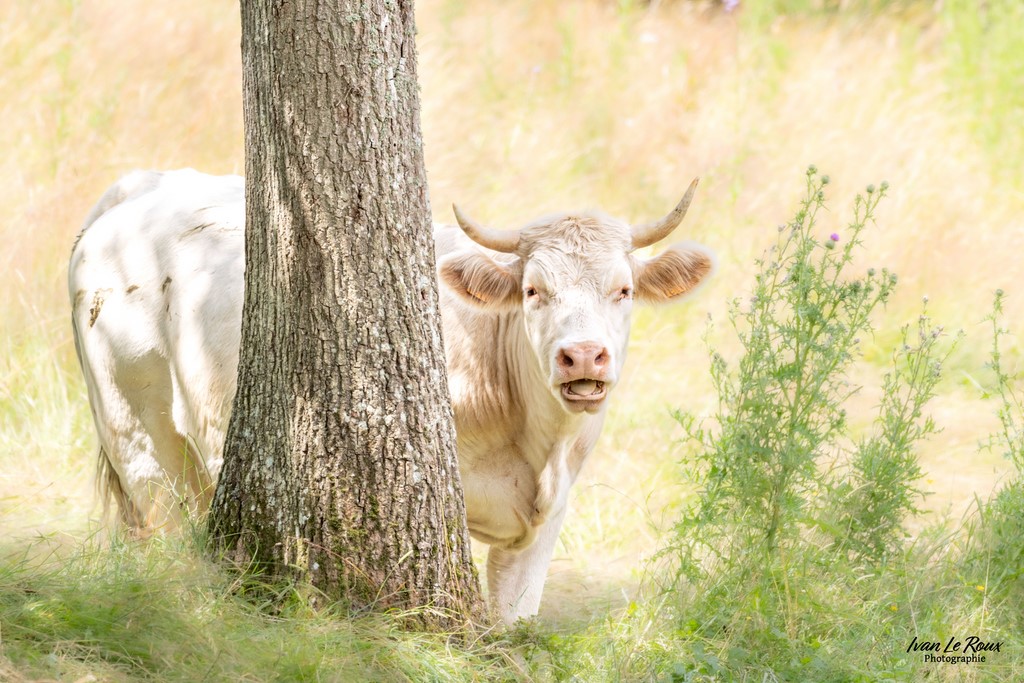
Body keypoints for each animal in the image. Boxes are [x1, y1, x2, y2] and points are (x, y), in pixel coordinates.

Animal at [69, 169, 715, 623]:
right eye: (533, 290)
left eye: (623, 290)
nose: (582, 356)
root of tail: (136, 192)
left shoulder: (544, 523)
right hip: (142, 444)